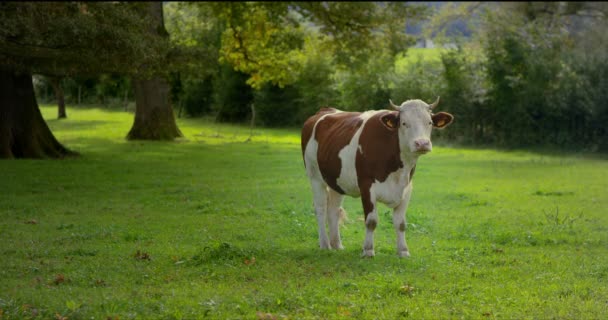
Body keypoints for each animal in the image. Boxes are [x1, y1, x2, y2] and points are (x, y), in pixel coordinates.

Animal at [302, 97, 454, 258]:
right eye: (404, 123)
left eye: (429, 122)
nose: (422, 143)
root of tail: (325, 110)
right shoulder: (366, 186)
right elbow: (371, 221)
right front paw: (368, 250)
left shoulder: (407, 188)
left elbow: (401, 223)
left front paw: (403, 251)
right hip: (314, 176)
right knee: (320, 209)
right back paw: (325, 244)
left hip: (336, 180)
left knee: (334, 210)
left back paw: (337, 245)